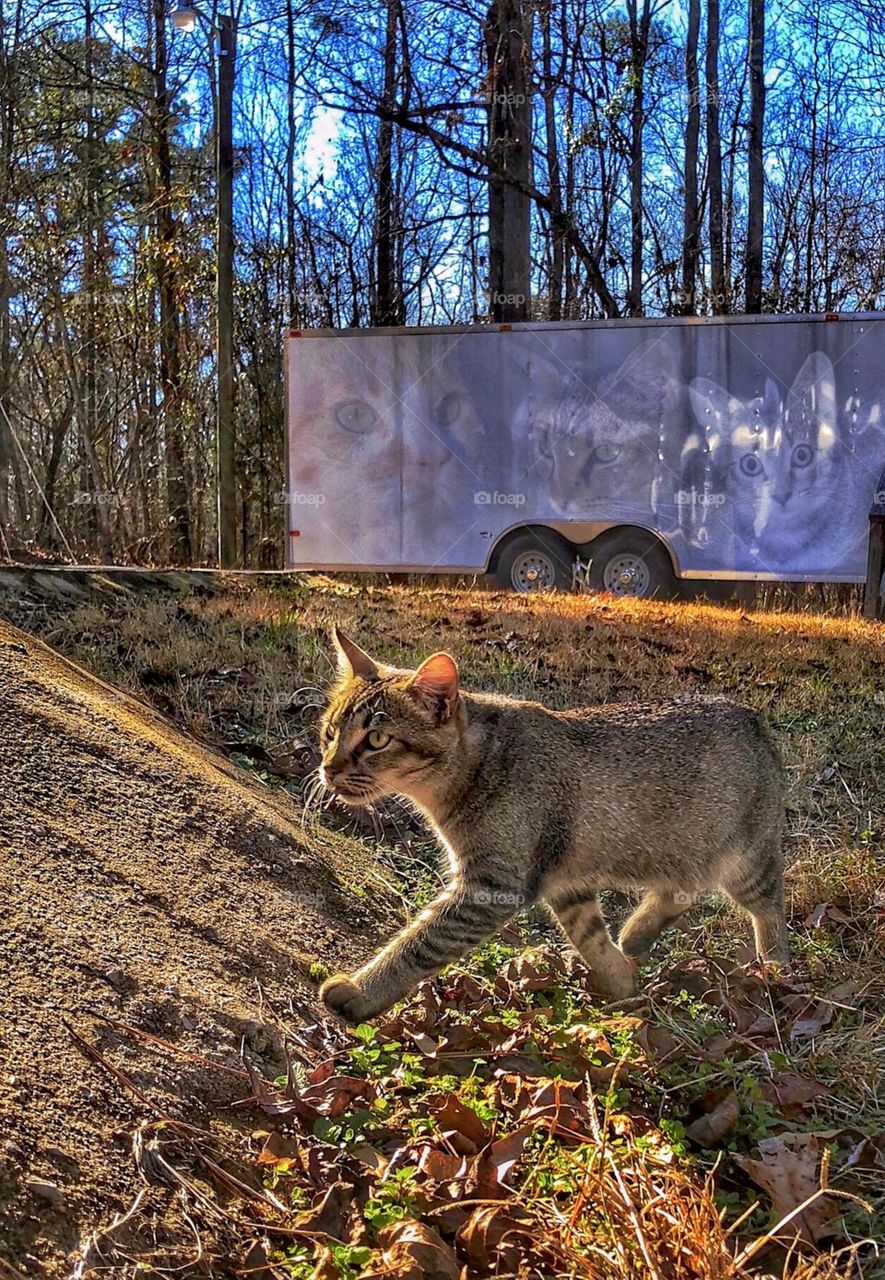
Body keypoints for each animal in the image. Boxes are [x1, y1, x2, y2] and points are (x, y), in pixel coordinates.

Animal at [318, 624, 788, 1024]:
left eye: (377, 740)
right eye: (330, 732)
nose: (328, 768)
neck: (474, 768)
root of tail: (753, 717)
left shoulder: (490, 886)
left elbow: (418, 944)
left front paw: (361, 990)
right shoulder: (566, 886)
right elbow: (591, 940)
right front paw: (624, 987)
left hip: (747, 861)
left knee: (769, 907)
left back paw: (776, 970)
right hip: (681, 849)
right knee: (682, 890)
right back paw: (637, 935)